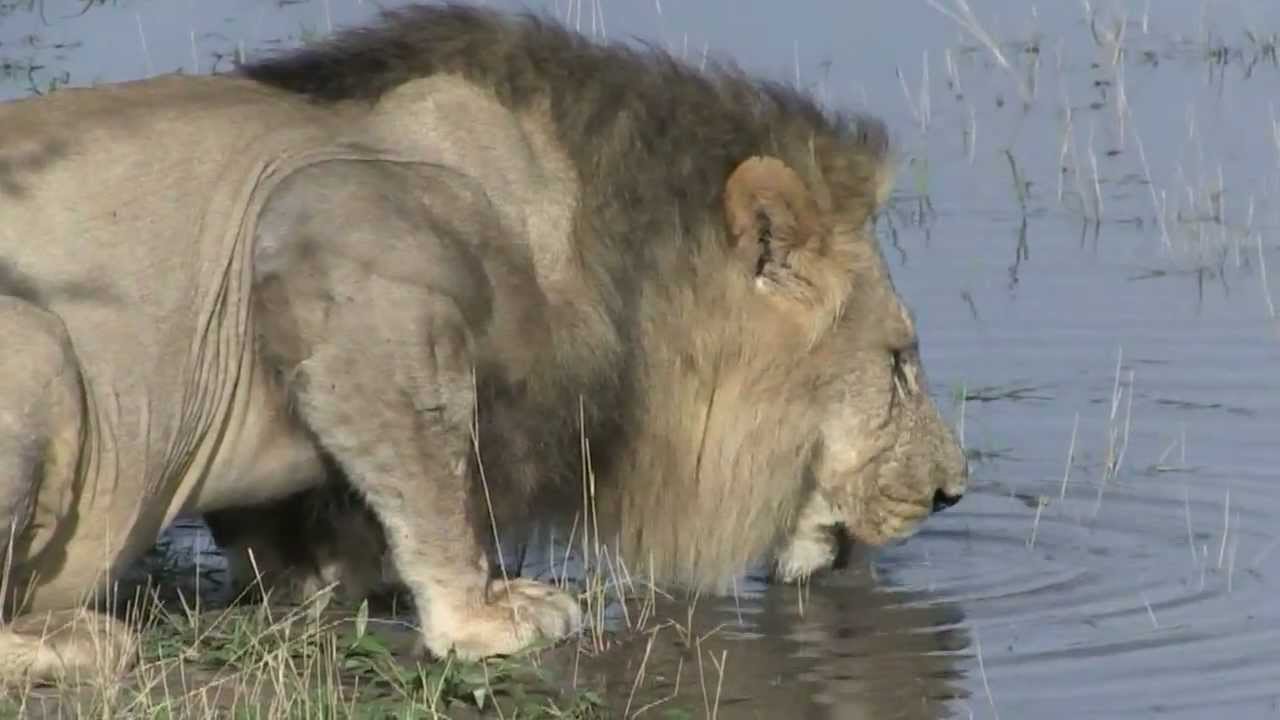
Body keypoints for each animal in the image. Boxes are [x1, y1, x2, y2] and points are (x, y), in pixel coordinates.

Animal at [0, 3, 967, 685]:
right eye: (898, 364)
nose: (952, 492)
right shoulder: (328, 235)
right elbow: (425, 472)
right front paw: (481, 618)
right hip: (42, 348)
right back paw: (81, 639)